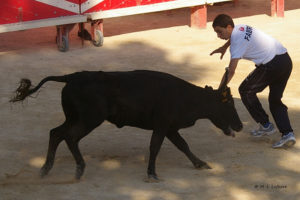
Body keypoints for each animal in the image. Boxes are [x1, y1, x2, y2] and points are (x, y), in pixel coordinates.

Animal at [10, 69, 243, 180]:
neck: (186, 96)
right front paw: (152, 174)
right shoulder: (162, 126)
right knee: (70, 137)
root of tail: (71, 77)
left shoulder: (170, 128)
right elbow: (155, 147)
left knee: (56, 133)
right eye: (229, 104)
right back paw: (79, 169)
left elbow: (183, 145)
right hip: (89, 120)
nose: (240, 126)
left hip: (74, 118)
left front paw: (200, 163)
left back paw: (45, 169)